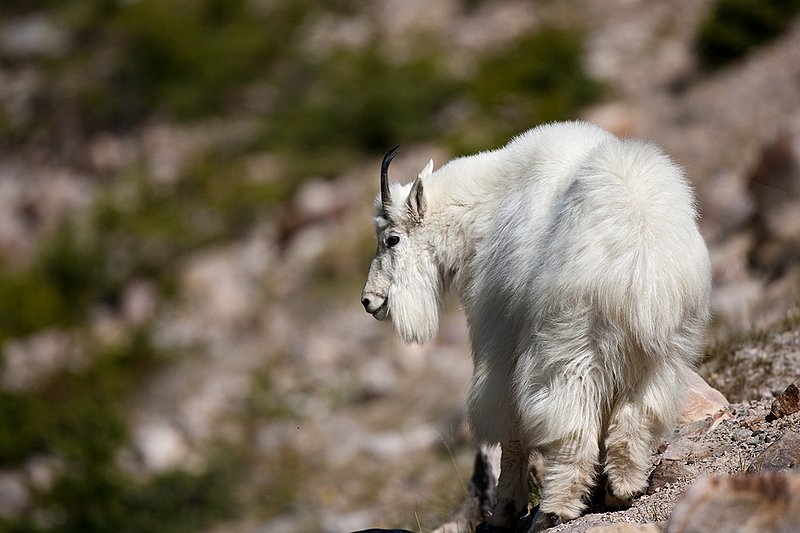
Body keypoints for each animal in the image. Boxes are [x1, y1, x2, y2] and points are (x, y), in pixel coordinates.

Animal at [360, 121, 711, 530]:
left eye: (392, 239)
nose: (369, 301)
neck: (481, 211)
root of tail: (639, 251)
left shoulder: (498, 338)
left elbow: (509, 430)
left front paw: (504, 511)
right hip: (663, 350)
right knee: (638, 415)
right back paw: (621, 490)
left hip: (571, 342)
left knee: (572, 423)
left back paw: (553, 509)